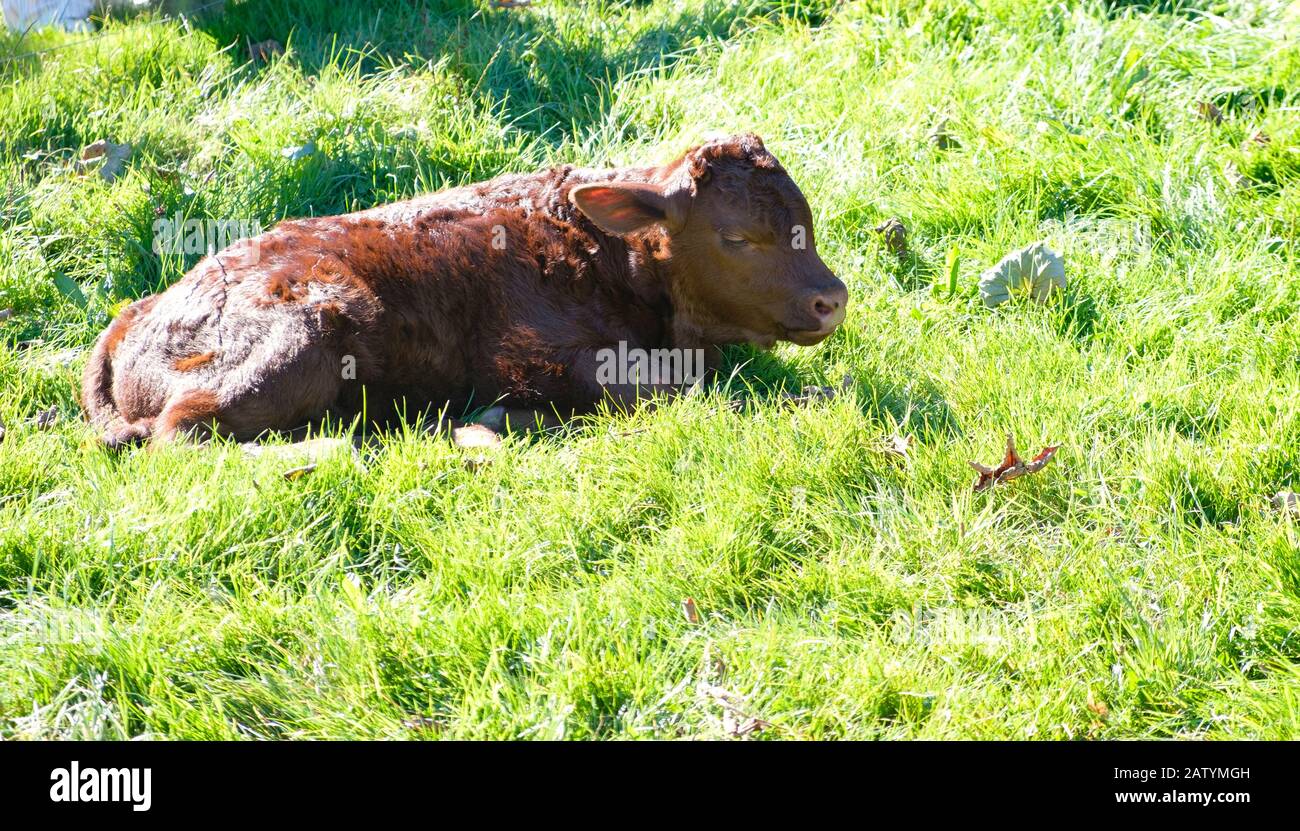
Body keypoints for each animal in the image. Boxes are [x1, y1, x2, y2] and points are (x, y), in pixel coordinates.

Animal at [83, 133, 852, 444]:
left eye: (805, 221)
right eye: (737, 237)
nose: (832, 300)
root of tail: (134, 316)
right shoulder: (530, 352)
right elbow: (677, 386)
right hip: (300, 335)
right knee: (183, 431)